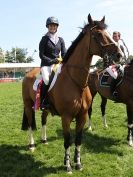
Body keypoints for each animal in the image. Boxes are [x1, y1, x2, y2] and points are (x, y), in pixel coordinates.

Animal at [21, 14, 122, 173]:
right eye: (99, 34)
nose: (119, 54)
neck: (75, 81)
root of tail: (28, 73)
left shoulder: (82, 116)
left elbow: (78, 139)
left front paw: (78, 163)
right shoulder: (66, 117)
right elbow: (67, 140)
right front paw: (68, 165)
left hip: (45, 108)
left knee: (43, 120)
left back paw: (44, 140)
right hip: (27, 104)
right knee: (31, 123)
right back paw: (31, 145)